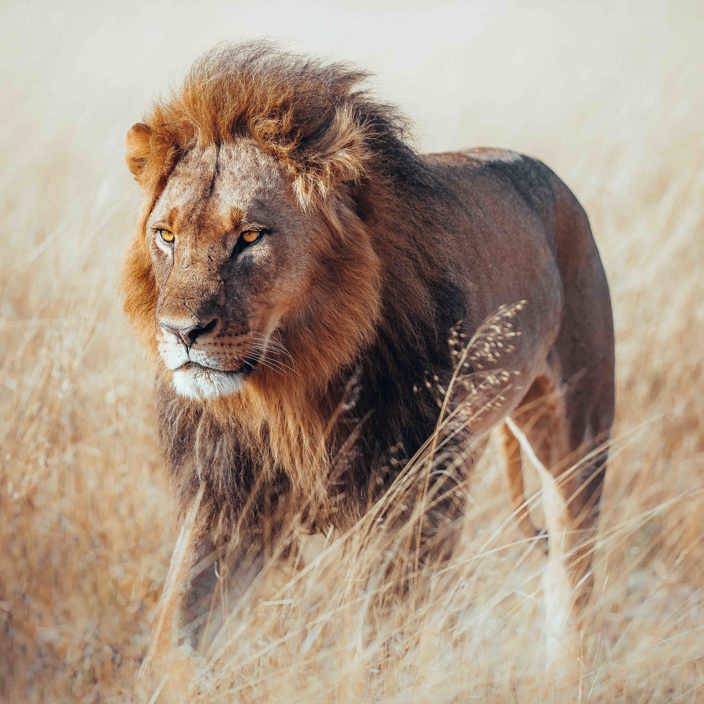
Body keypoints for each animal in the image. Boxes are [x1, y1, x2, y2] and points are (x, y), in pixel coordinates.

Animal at [122, 43, 614, 657]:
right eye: (166, 235)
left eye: (251, 237)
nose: (180, 331)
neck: (291, 386)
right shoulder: (230, 500)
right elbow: (174, 636)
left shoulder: (406, 508)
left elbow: (373, 649)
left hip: (580, 434)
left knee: (572, 580)